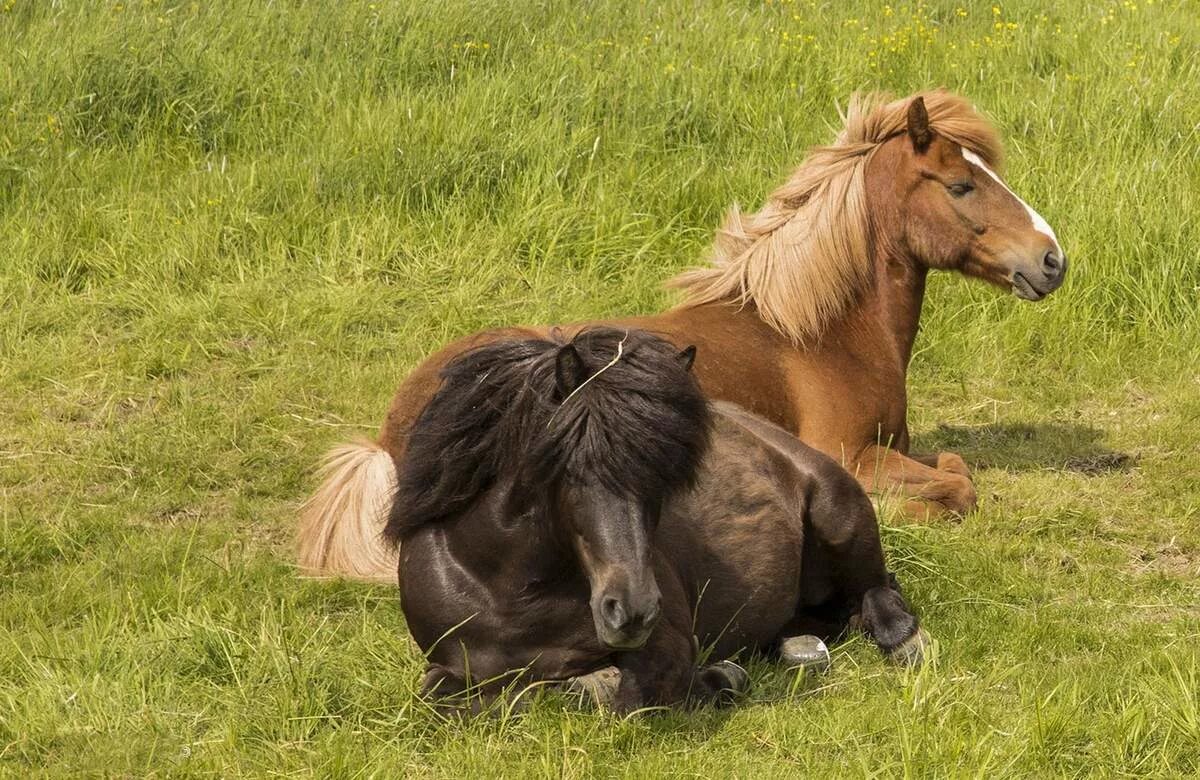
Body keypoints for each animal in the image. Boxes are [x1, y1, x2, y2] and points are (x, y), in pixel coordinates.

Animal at [295, 88, 1065, 580]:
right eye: (961, 186)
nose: (1052, 259)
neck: (817, 335)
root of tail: (388, 435)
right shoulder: (850, 457)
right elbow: (955, 490)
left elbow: (955, 467)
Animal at [381, 328, 916, 710]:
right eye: (574, 467)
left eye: (667, 476)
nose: (633, 611)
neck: (507, 588)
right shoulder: (449, 667)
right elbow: (460, 695)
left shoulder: (668, 648)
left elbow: (620, 695)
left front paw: (719, 678)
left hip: (838, 511)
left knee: (877, 592)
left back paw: (900, 638)